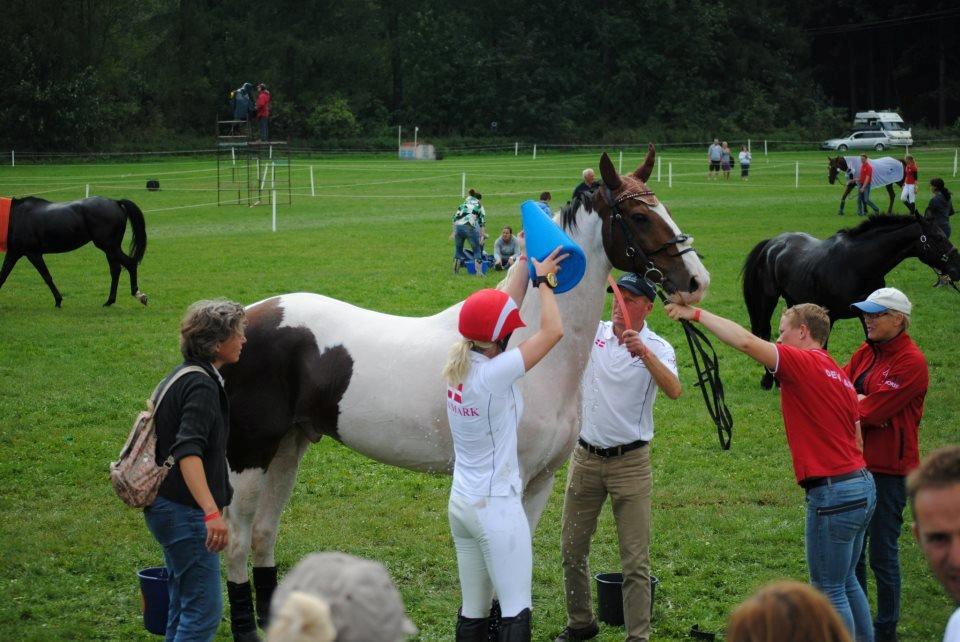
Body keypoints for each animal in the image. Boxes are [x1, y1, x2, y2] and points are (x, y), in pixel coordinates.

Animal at [0, 195, 148, 304]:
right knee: (116, 270)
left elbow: (47, 276)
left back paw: (138, 295)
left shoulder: (33, 253)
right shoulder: (14, 253)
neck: (15, 216)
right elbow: (3, 276)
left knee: (130, 264)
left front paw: (58, 301)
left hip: (110, 247)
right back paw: (110, 301)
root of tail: (115, 202)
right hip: (110, 249)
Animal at [221, 151, 708, 640]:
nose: (696, 280)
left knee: (264, 533)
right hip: (250, 457)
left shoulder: (540, 483)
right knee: (238, 540)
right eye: (640, 216)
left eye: (662, 207)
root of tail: (246, 319)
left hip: (288, 448)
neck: (527, 347)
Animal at [744, 212, 960, 388]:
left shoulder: (869, 314)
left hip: (794, 299)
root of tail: (773, 243)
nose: (956, 268)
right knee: (765, 333)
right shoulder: (829, 316)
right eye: (939, 238)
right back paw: (769, 380)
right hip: (768, 299)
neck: (856, 263)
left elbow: (872, 343)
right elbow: (823, 348)